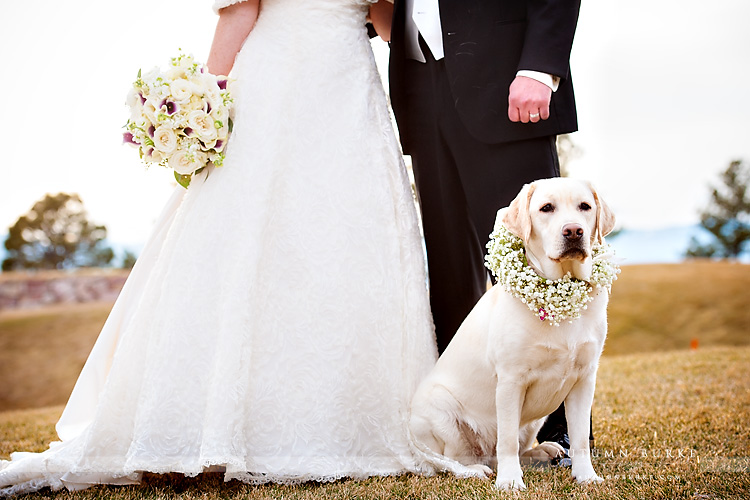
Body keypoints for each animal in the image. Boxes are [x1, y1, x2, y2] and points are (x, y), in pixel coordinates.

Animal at [412, 178, 616, 490]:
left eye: (585, 206)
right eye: (546, 208)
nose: (573, 231)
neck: (560, 293)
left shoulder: (584, 379)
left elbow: (580, 438)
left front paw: (586, 476)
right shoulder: (511, 381)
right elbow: (506, 441)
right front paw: (509, 481)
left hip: (534, 420)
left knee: (506, 452)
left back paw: (545, 451)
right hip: (439, 409)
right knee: (453, 461)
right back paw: (475, 470)